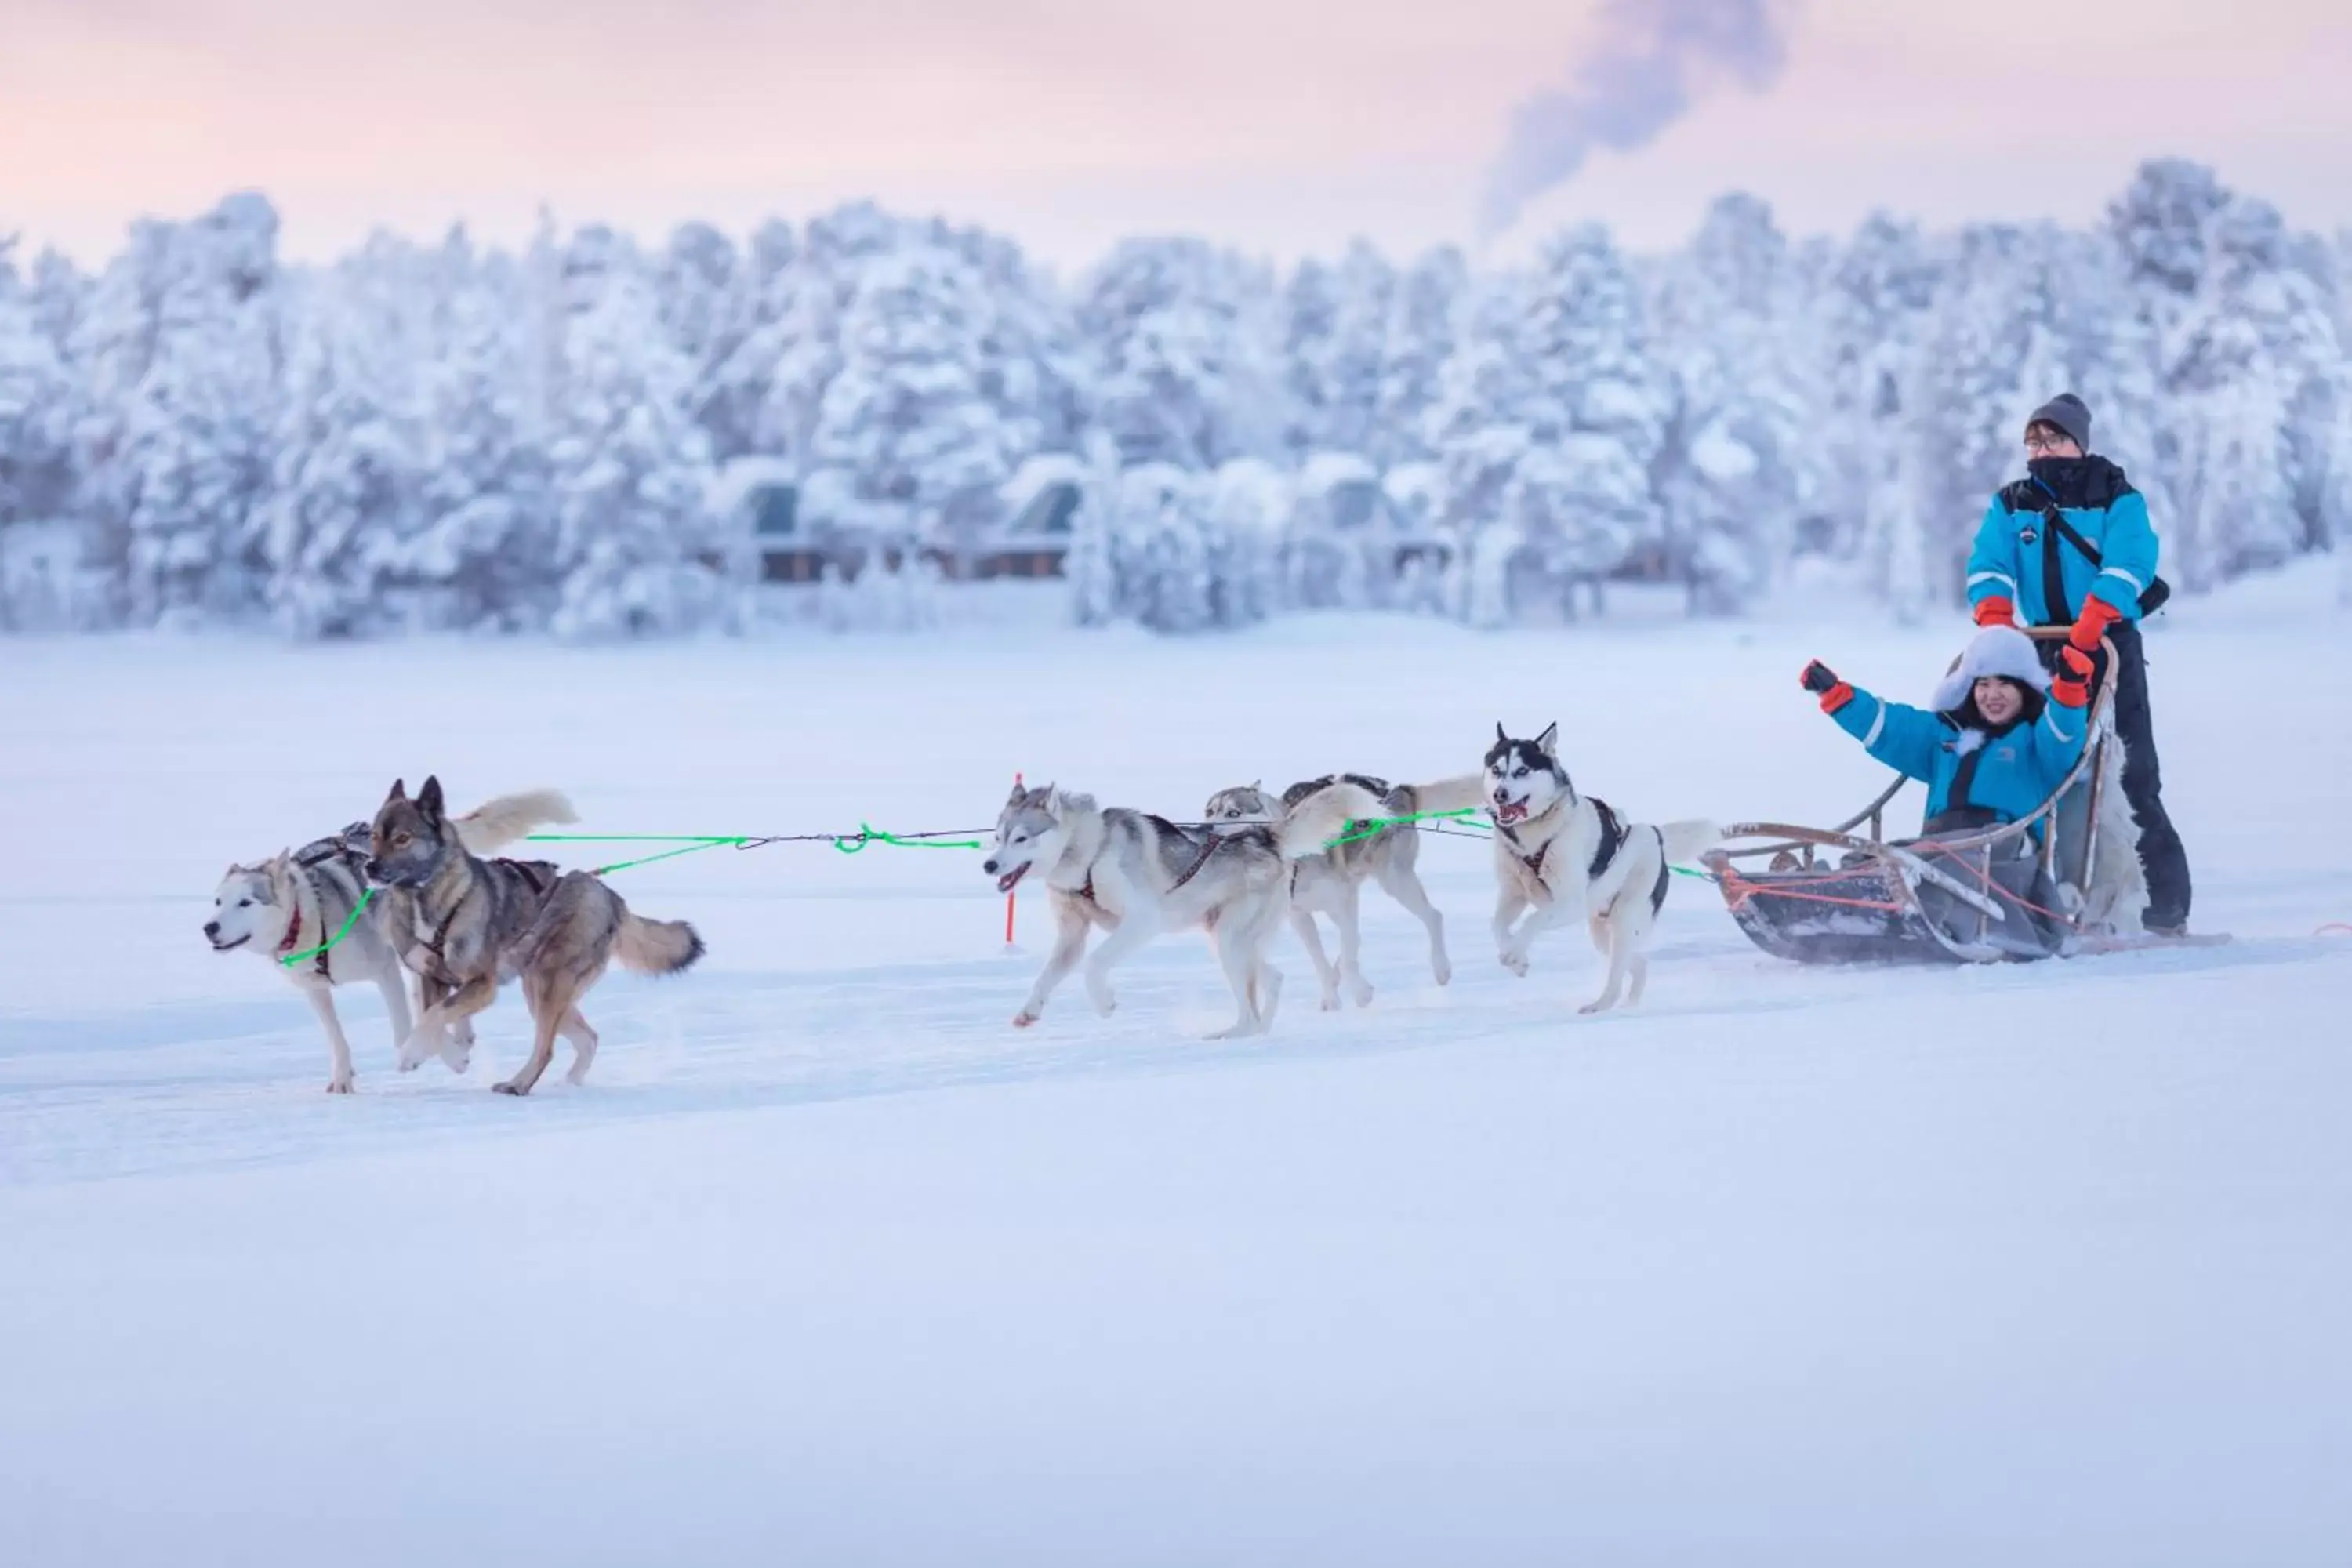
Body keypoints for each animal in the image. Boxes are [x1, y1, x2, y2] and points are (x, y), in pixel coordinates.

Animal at [208, 789, 583, 1100]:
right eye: (217, 902)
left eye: (245, 903)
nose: (209, 928)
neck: (310, 916)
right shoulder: (315, 989)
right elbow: (336, 1037)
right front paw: (342, 1077)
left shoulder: (386, 970)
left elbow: (409, 1028)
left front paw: (447, 1057)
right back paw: (463, 1032)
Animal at [362, 780, 701, 1100]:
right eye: (375, 836)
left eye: (402, 838)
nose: (370, 866)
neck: (431, 902)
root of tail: (610, 898)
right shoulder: (431, 979)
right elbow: (431, 1017)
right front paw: (453, 1055)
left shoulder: (483, 985)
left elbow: (434, 1016)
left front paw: (411, 1054)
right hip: (542, 992)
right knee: (589, 1038)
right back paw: (570, 1081)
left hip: (546, 985)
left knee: (547, 1049)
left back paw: (519, 1084)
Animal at [983, 775, 1383, 1044]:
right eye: (998, 837)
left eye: (1022, 837)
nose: (989, 865)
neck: (1090, 853)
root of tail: (1264, 837)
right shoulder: (1072, 934)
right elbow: (1046, 976)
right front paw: (1029, 1011)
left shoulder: (1142, 921)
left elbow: (1095, 964)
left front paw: (1105, 1003)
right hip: (1227, 939)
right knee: (1273, 980)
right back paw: (1256, 1032)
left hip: (1230, 941)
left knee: (1252, 1003)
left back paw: (1232, 1035)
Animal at [1204, 771, 1477, 1006]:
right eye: (1209, 812)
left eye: (1233, 812)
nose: (1205, 828)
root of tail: (1399, 789)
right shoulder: (1300, 916)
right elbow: (1319, 958)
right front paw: (1332, 999)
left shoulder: (1343, 900)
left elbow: (1348, 953)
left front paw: (1359, 993)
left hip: (1395, 880)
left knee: (1433, 917)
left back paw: (1441, 967)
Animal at [1477, 728, 1722, 1020]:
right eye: (1496, 769)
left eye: (1522, 770)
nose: (1500, 794)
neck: (1533, 840)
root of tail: (1656, 835)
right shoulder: (1514, 894)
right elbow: (1497, 925)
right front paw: (1517, 959)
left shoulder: (1569, 903)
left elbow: (1532, 920)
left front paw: (1514, 953)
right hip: (1601, 933)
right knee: (1637, 962)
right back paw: (1630, 1003)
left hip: (1623, 917)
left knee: (1617, 974)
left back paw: (1601, 1005)